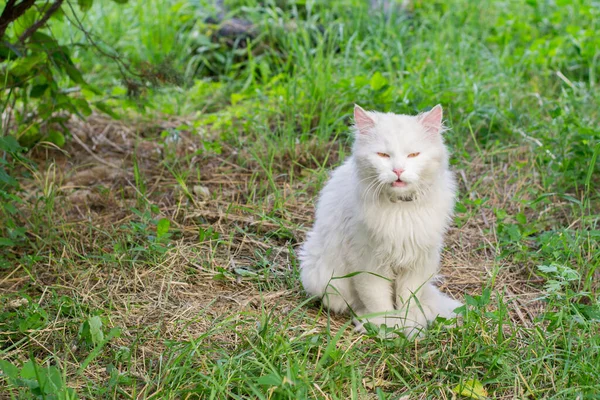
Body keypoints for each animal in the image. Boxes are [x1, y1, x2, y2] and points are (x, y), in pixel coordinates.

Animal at [298, 104, 462, 336]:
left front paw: (410, 327)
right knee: (352, 304)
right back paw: (365, 322)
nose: (398, 170)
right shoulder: (368, 263)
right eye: (383, 155)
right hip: (324, 278)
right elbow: (377, 300)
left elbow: (407, 301)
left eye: (413, 154)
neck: (401, 209)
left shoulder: (416, 261)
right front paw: (387, 328)